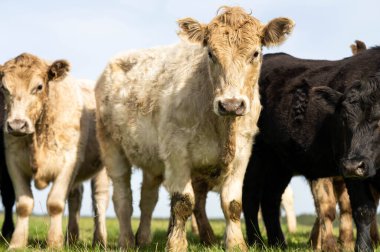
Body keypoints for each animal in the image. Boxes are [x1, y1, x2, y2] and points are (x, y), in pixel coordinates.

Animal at [0, 53, 110, 248]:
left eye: (39, 86)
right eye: (3, 87)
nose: (17, 125)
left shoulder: (68, 162)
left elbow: (56, 203)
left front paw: (54, 243)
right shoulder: (13, 162)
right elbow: (23, 204)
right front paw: (17, 243)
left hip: (102, 168)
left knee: (99, 200)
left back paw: (99, 240)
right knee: (76, 197)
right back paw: (72, 238)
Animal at [94, 5, 294, 250]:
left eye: (255, 53)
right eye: (211, 54)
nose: (231, 104)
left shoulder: (242, 155)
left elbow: (233, 204)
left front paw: (236, 244)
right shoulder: (176, 153)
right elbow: (183, 202)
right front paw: (176, 245)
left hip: (152, 160)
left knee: (147, 198)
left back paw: (143, 239)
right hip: (112, 147)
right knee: (123, 198)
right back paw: (126, 241)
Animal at [243, 46, 380, 251]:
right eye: (343, 119)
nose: (353, 165)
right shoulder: (351, 169)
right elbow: (364, 209)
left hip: (281, 163)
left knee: (270, 198)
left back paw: (278, 243)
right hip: (255, 154)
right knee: (250, 194)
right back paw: (256, 242)